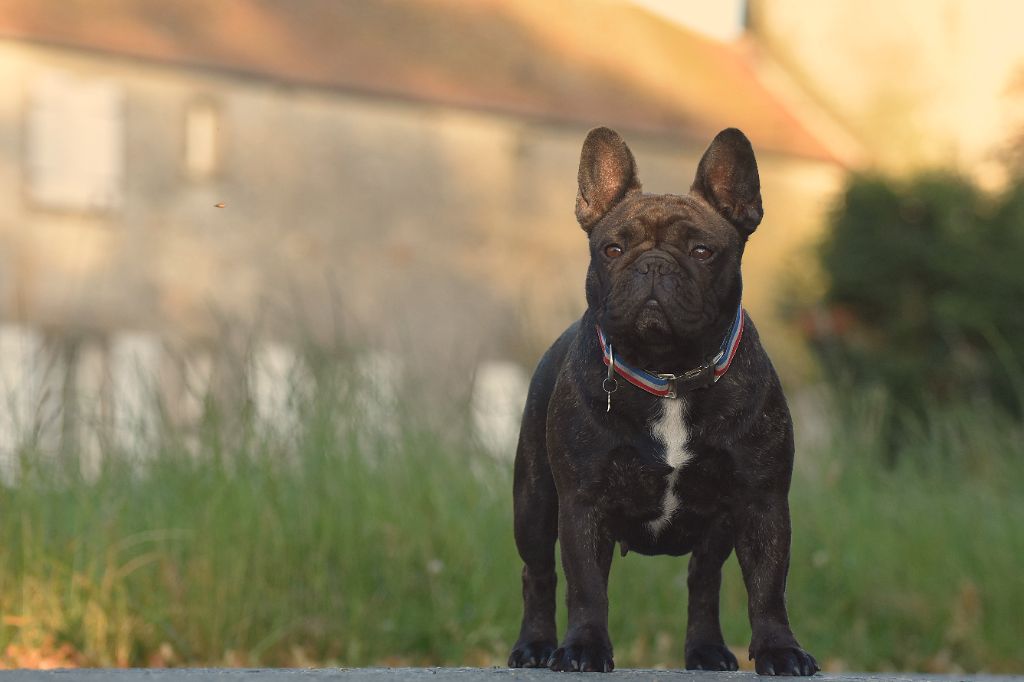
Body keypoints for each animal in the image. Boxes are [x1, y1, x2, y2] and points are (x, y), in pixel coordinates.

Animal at [507, 128, 818, 675]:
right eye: (612, 249)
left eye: (702, 250)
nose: (652, 265)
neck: (670, 373)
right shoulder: (583, 503)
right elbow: (586, 587)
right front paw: (584, 648)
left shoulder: (761, 501)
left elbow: (767, 587)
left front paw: (780, 650)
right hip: (534, 502)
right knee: (538, 574)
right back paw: (536, 645)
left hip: (716, 528)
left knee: (704, 582)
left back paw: (706, 650)